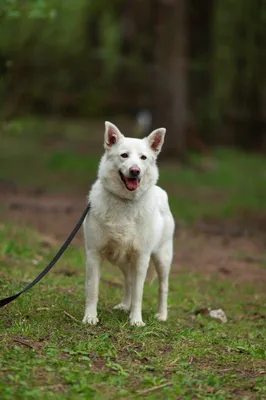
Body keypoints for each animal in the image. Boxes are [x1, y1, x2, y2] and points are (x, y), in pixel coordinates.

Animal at [82, 121, 175, 324]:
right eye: (124, 155)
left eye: (143, 158)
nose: (135, 171)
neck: (125, 203)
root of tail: (160, 191)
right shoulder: (93, 254)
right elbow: (92, 290)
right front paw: (90, 317)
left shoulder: (142, 258)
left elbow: (139, 293)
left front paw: (136, 321)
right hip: (124, 261)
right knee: (129, 281)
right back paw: (125, 305)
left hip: (162, 258)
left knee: (163, 287)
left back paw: (162, 315)